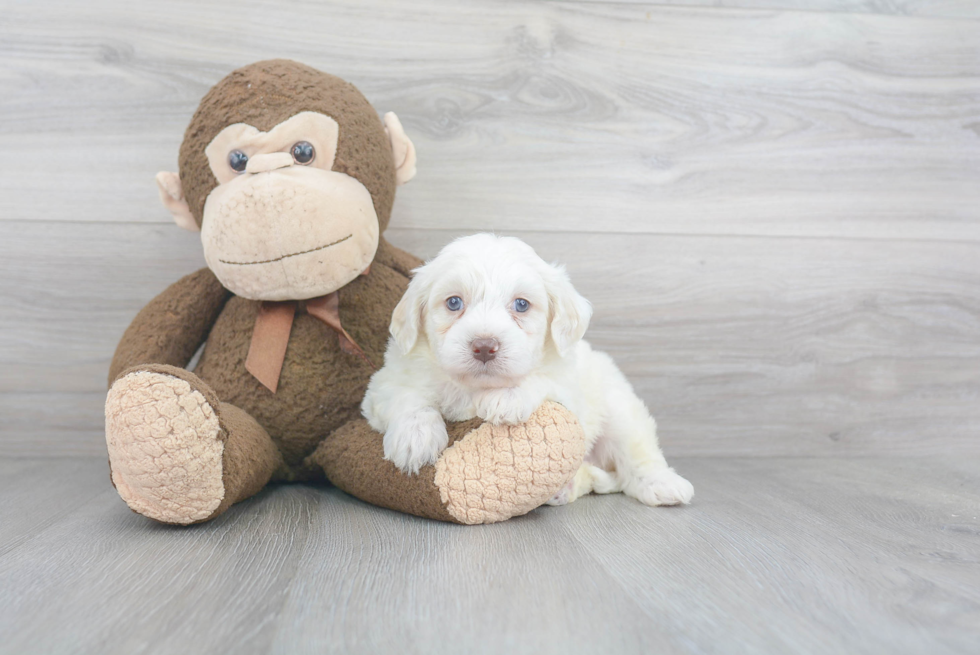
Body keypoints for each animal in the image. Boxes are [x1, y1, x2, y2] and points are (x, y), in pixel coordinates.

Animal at [364, 234, 692, 508]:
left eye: (521, 304)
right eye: (454, 302)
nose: (485, 346)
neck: (475, 386)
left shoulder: (569, 387)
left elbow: (542, 379)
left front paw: (507, 396)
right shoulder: (383, 384)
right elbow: (407, 397)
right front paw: (415, 438)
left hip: (619, 410)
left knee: (638, 454)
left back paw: (663, 485)